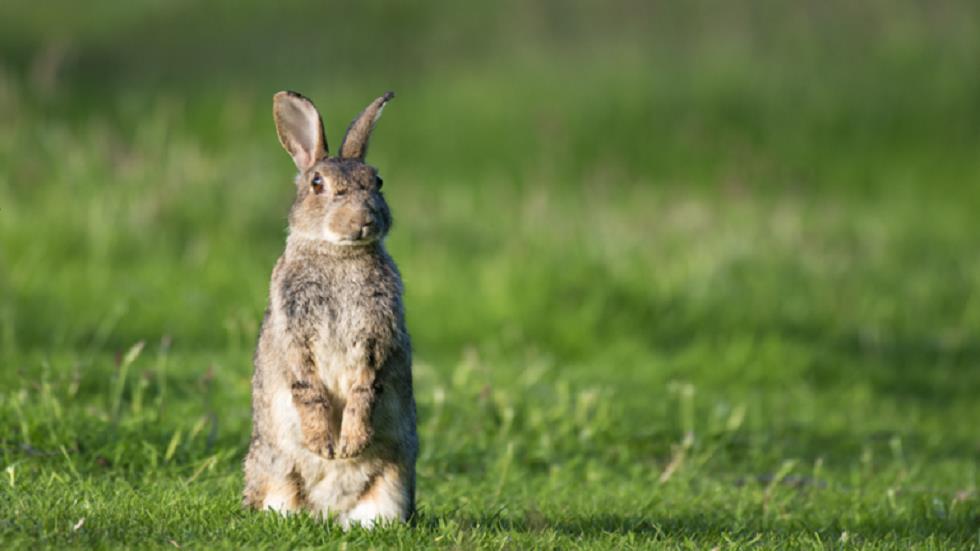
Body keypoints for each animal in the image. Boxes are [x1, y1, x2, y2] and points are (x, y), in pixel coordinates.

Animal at [245, 91, 418, 532]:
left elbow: (365, 388)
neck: (338, 253)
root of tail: (329, 511)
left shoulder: (376, 336)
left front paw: (350, 444)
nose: (364, 220)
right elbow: (307, 388)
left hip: (393, 480)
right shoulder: (295, 331)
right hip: (274, 472)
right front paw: (324, 446)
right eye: (317, 184)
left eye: (377, 181)